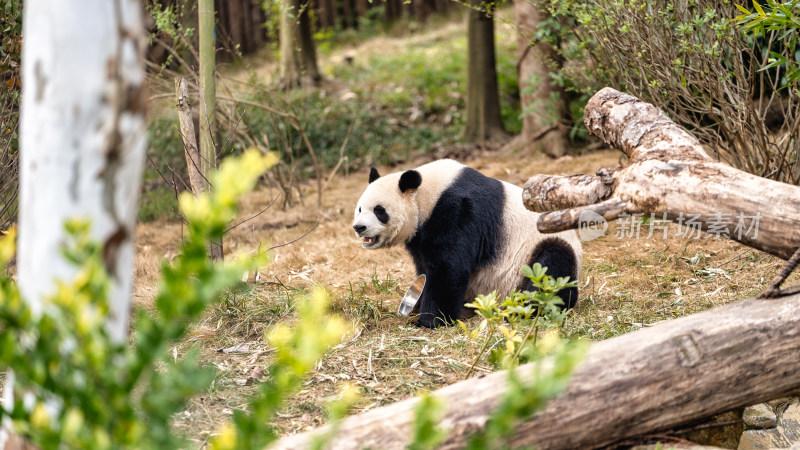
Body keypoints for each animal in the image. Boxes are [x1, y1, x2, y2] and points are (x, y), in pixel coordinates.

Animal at [354, 160, 584, 328]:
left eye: (379, 210)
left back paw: (526, 310)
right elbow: (425, 269)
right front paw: (418, 304)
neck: (426, 194)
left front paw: (430, 320)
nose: (359, 227)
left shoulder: (457, 211)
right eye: (360, 208)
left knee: (552, 267)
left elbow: (449, 267)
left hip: (538, 255)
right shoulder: (421, 235)